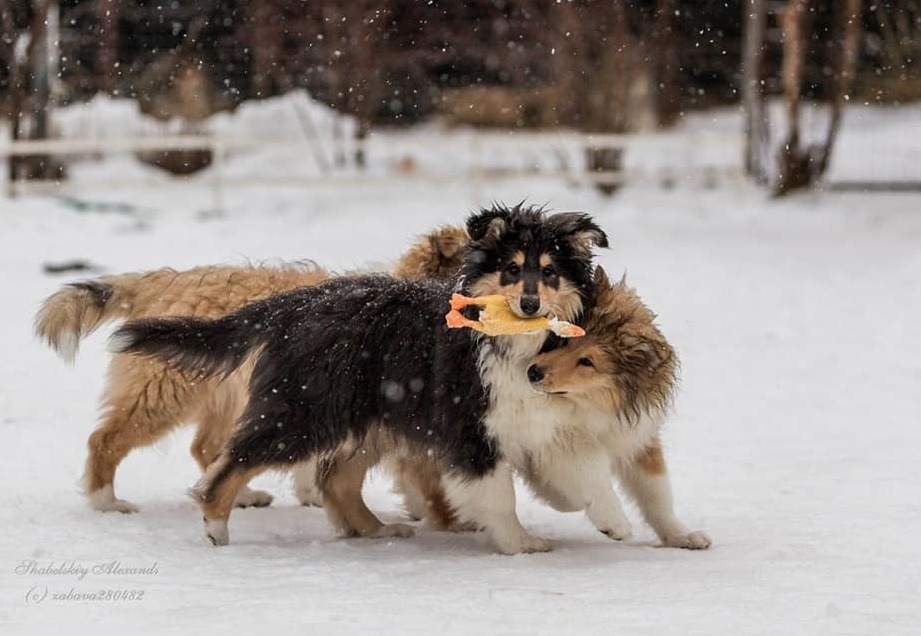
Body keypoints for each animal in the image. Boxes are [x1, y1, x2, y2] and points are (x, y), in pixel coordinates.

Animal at [34, 226, 468, 513]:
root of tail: (165, 283)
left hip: (229, 396)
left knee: (206, 447)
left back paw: (240, 496)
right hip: (164, 392)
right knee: (105, 440)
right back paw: (106, 501)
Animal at [110, 204, 608, 553]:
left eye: (549, 271)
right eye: (510, 269)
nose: (530, 304)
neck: (506, 339)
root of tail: (293, 304)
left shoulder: (528, 419)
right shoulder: (471, 426)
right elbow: (499, 495)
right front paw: (520, 545)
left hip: (362, 417)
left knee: (337, 480)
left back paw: (375, 530)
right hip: (305, 410)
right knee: (235, 462)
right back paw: (216, 525)